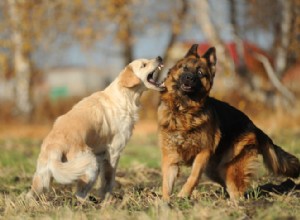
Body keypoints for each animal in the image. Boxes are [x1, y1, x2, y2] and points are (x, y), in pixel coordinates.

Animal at [26, 56, 165, 199]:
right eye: (144, 65)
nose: (159, 57)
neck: (124, 95)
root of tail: (54, 146)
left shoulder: (102, 153)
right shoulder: (114, 151)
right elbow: (108, 180)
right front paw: (107, 199)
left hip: (43, 177)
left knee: (30, 194)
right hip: (90, 165)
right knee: (79, 193)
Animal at [158, 44, 298, 201]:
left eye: (200, 73)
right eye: (185, 68)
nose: (189, 78)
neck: (184, 111)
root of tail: (255, 127)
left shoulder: (203, 153)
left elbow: (193, 177)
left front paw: (183, 195)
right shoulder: (170, 158)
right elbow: (166, 184)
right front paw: (165, 203)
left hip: (230, 170)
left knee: (237, 191)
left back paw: (237, 204)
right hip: (215, 171)